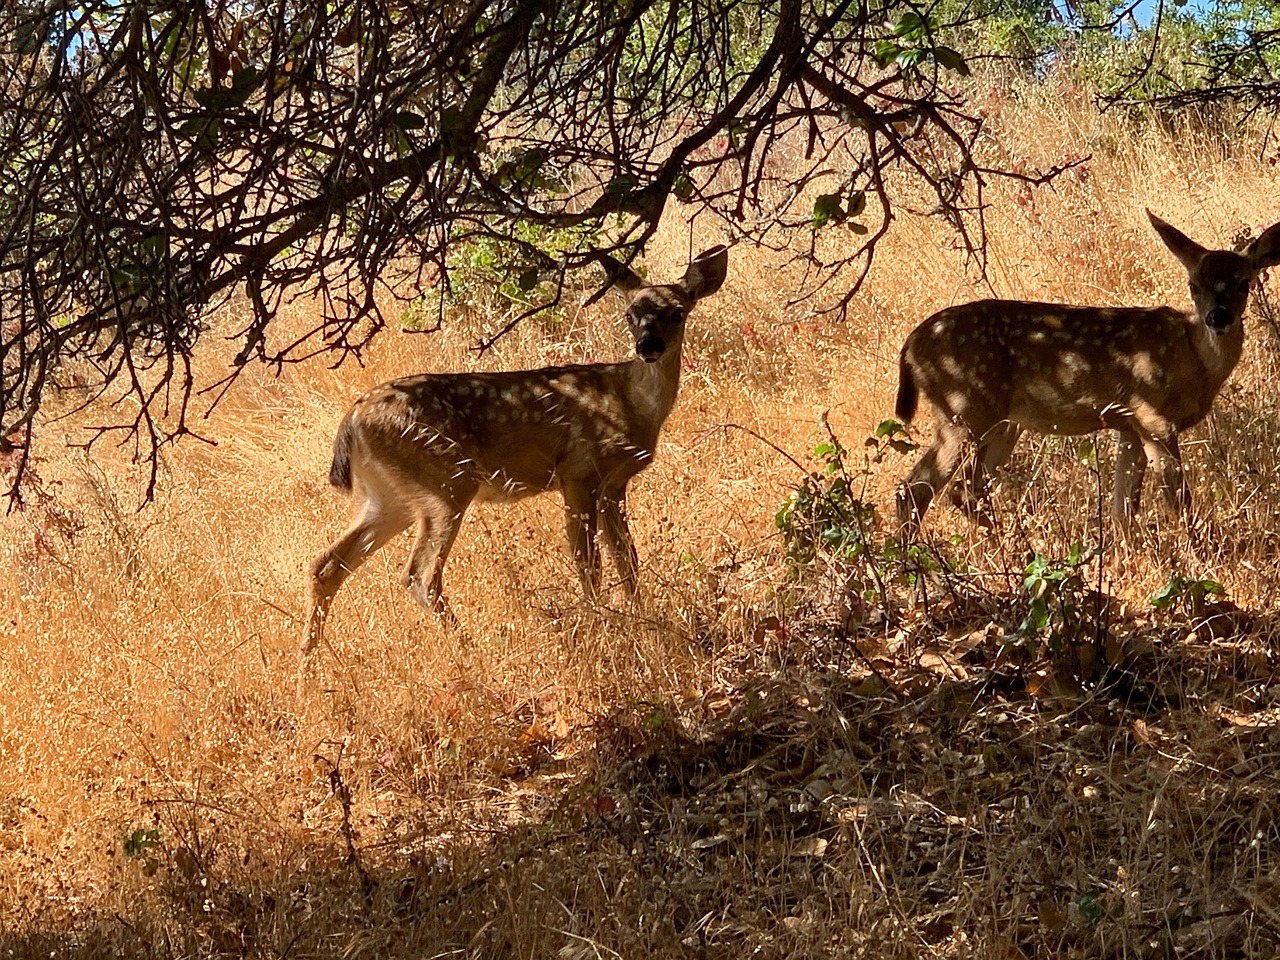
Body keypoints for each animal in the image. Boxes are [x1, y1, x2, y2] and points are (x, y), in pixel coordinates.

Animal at [300, 244, 728, 678]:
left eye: (678, 312)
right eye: (629, 314)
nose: (647, 347)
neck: (631, 402)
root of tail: (351, 422)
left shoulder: (613, 485)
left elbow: (627, 560)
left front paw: (643, 619)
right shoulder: (579, 473)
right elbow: (588, 564)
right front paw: (606, 626)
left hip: (390, 497)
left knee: (327, 564)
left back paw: (309, 666)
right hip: (446, 482)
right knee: (419, 575)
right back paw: (473, 652)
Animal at [895, 210, 1280, 534]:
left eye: (1244, 283)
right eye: (1193, 285)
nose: (1218, 317)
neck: (1194, 360)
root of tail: (911, 345)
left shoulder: (1129, 425)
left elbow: (1122, 508)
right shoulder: (1153, 415)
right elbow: (1178, 500)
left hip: (1002, 422)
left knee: (965, 489)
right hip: (963, 409)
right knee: (917, 488)